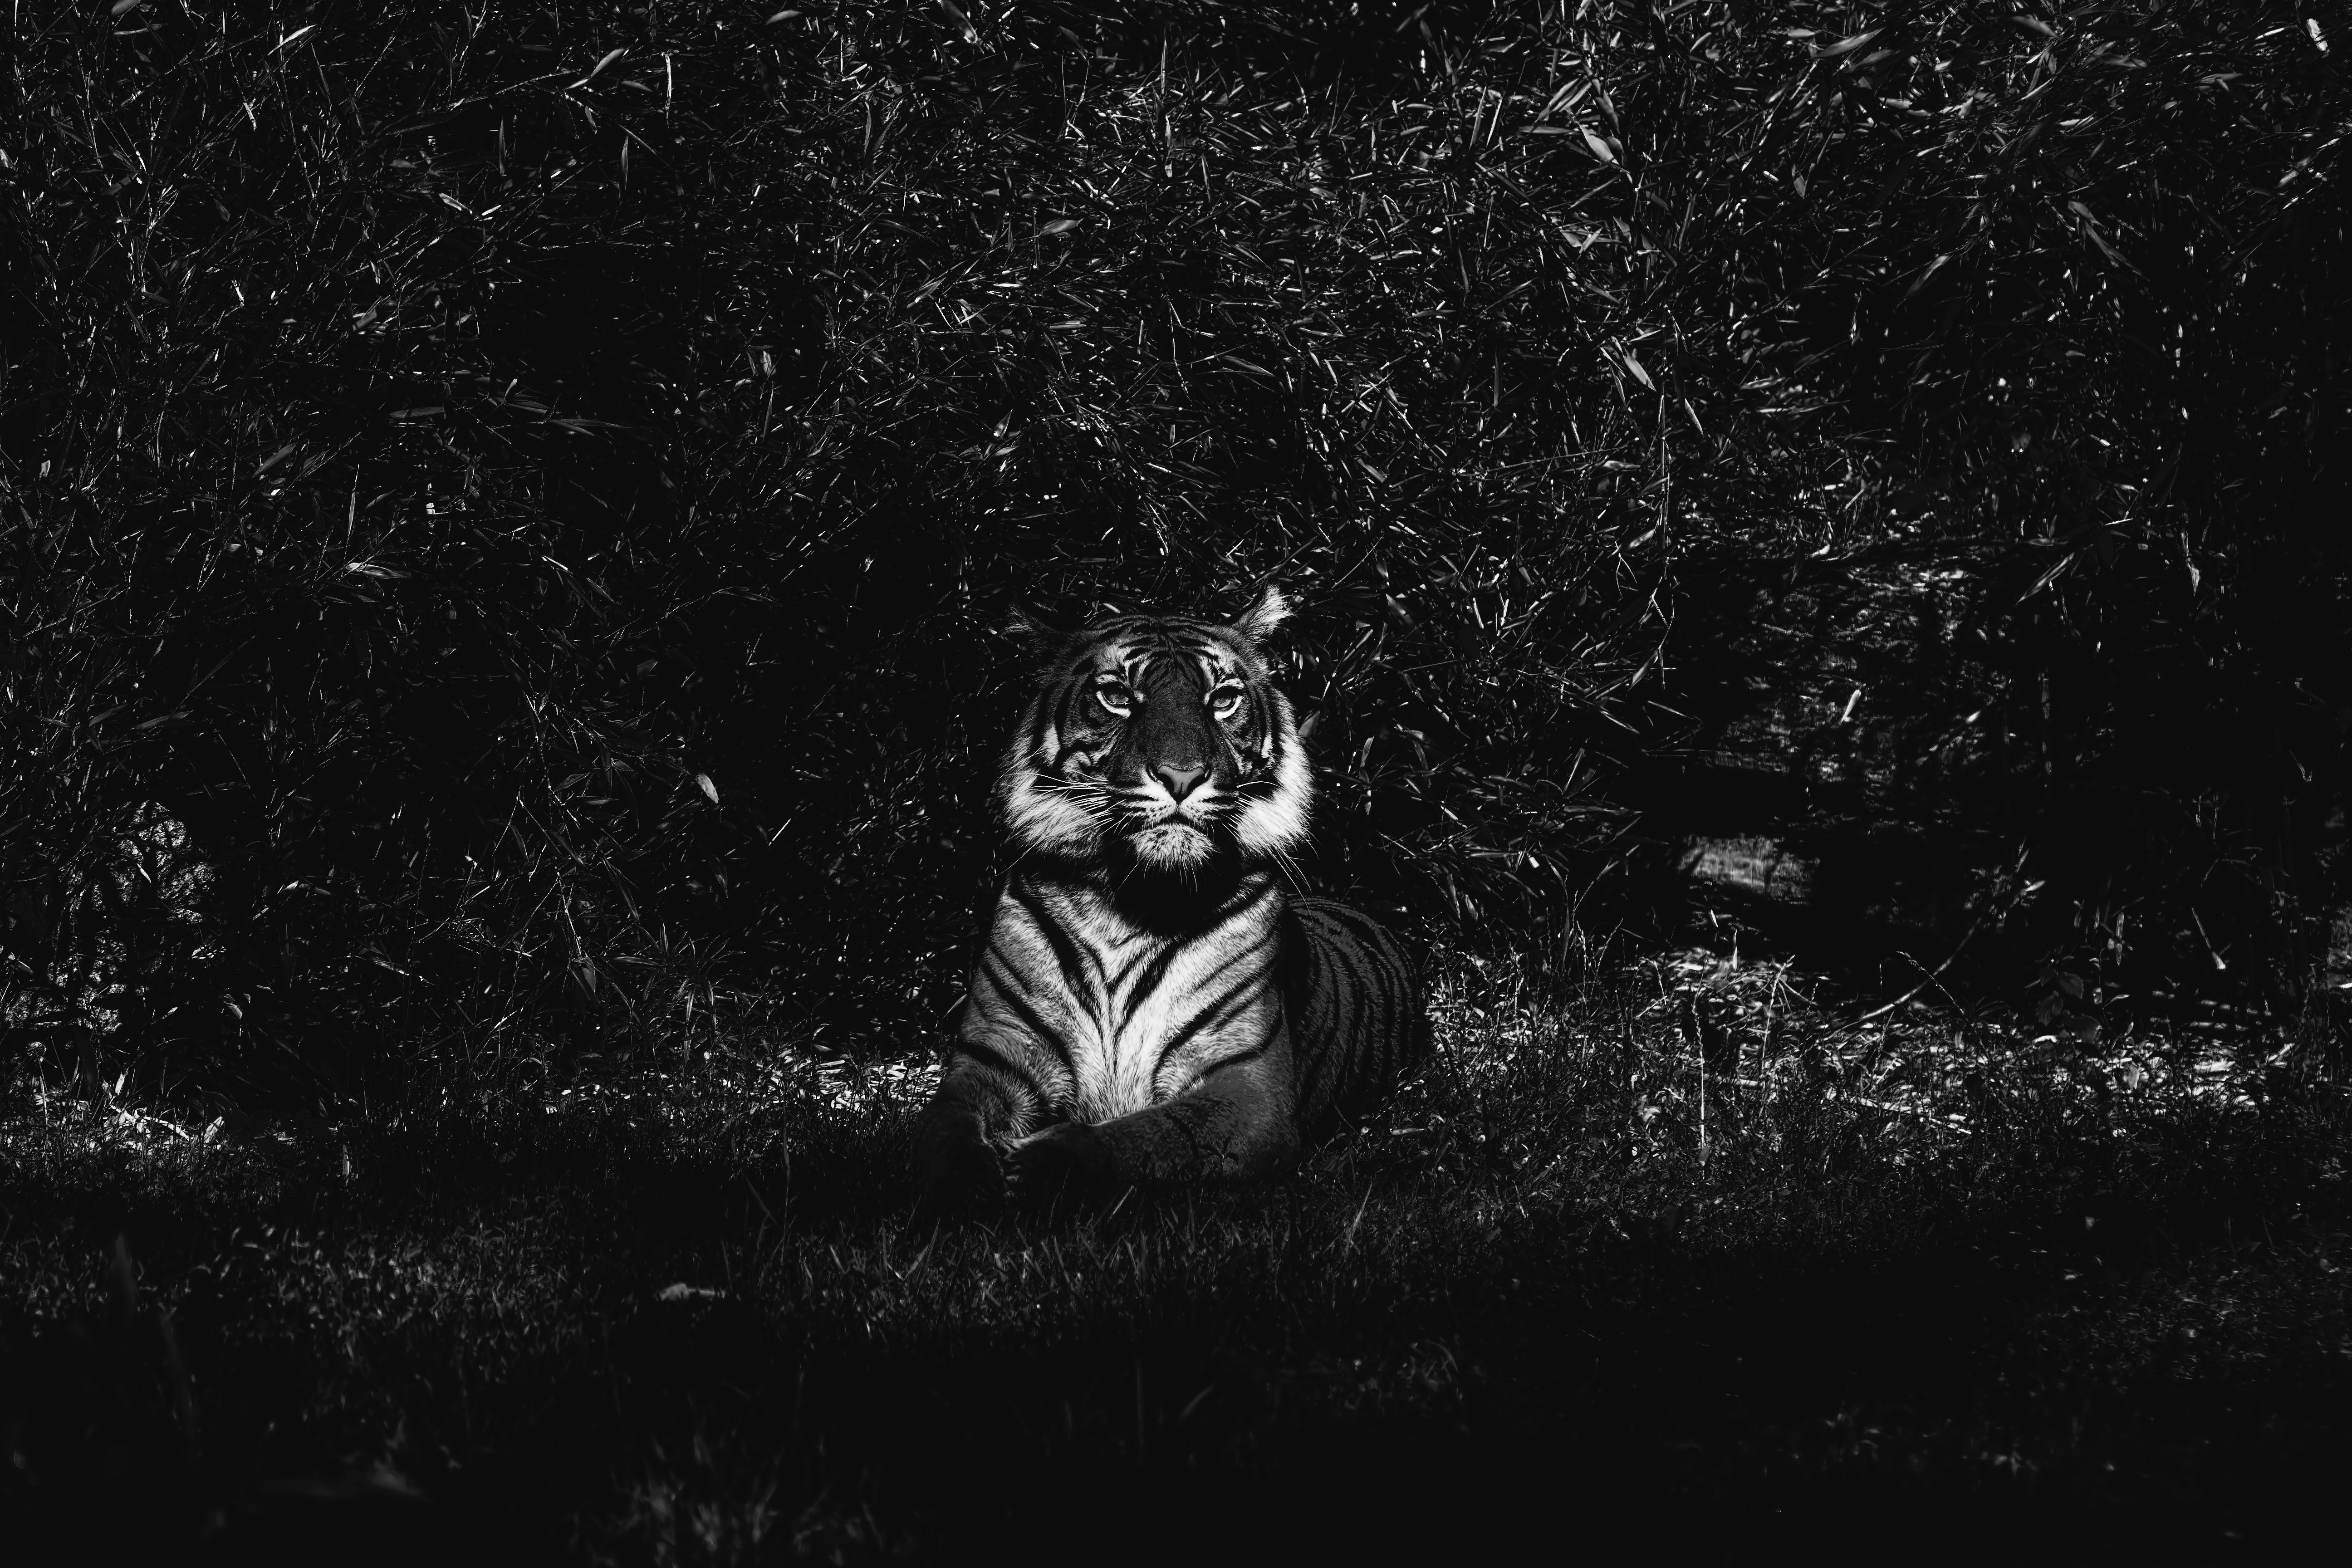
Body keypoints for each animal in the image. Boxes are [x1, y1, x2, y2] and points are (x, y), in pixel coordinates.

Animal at [913, 583, 1429, 1206]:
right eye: (1116, 696)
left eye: (1223, 700)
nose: (1182, 776)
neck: (1129, 903)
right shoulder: (990, 1059)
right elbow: (942, 1132)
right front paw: (968, 1185)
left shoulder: (1245, 1088)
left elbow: (1145, 1139)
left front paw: (1043, 1163)